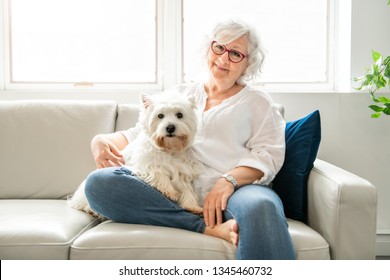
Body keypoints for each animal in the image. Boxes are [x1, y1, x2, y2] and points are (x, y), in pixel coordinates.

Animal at [69, 92, 204, 219]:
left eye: (179, 115)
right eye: (160, 115)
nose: (170, 127)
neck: (169, 149)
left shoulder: (183, 172)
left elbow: (187, 191)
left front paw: (193, 206)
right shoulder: (146, 166)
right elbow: (159, 175)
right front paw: (170, 191)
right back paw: (91, 210)